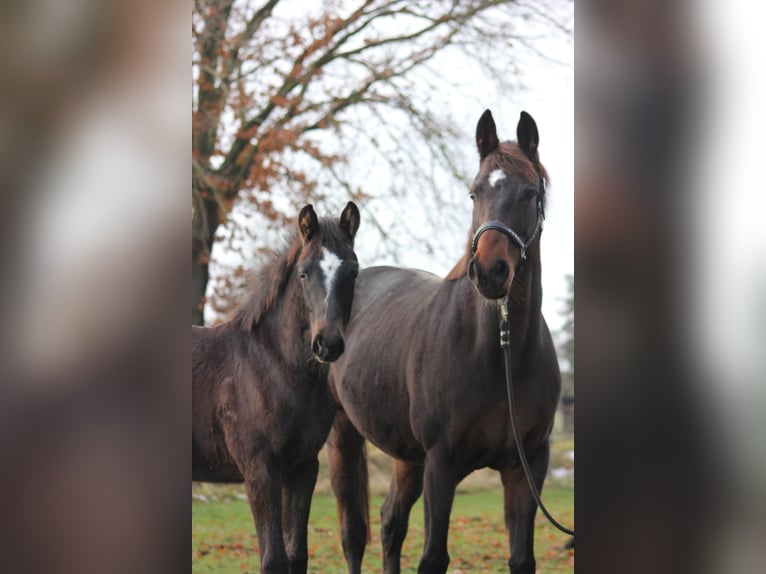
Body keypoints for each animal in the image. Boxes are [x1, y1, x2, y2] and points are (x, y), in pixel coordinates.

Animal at [192, 204, 360, 574]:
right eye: (304, 273)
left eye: (353, 272)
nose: (327, 344)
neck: (272, 366)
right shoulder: (259, 470)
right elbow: (273, 559)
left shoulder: (302, 468)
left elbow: (297, 556)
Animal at [330, 112, 564, 574]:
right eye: (475, 191)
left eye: (530, 193)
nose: (490, 272)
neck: (498, 355)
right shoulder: (440, 463)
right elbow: (433, 557)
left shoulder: (527, 465)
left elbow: (521, 558)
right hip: (343, 435)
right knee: (353, 535)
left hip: (407, 455)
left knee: (391, 523)